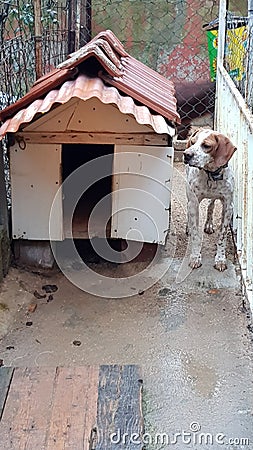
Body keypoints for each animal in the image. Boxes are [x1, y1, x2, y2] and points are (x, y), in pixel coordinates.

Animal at [183, 128, 236, 272]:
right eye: (192, 142)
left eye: (206, 146)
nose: (186, 154)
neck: (211, 175)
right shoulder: (193, 203)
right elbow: (196, 234)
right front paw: (195, 257)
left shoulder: (228, 207)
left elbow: (222, 236)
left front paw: (220, 259)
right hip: (189, 198)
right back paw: (188, 227)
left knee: (210, 206)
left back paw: (209, 224)